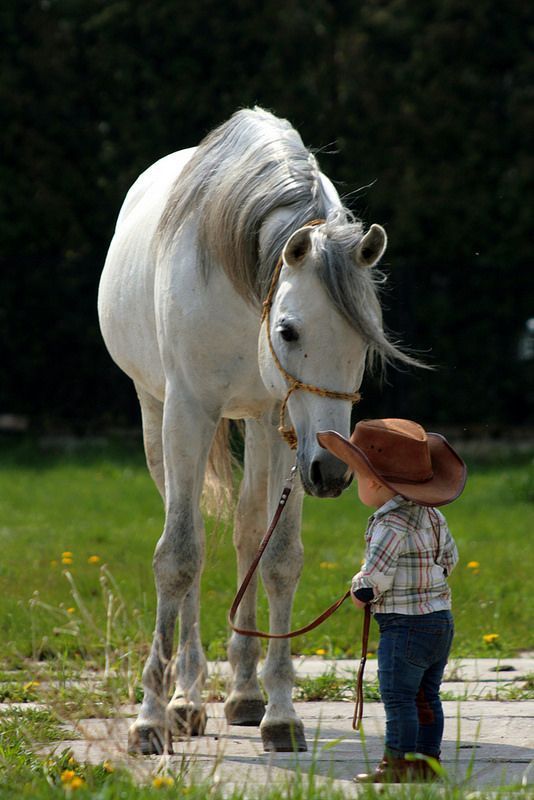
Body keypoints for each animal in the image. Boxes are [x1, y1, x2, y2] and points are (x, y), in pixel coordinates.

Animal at [97, 108, 414, 756]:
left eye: (366, 340)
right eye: (289, 330)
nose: (335, 471)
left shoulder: (284, 423)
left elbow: (280, 558)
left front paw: (281, 713)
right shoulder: (187, 411)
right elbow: (178, 556)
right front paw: (150, 719)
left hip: (263, 429)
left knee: (248, 532)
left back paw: (243, 694)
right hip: (157, 413)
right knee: (189, 534)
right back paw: (186, 700)